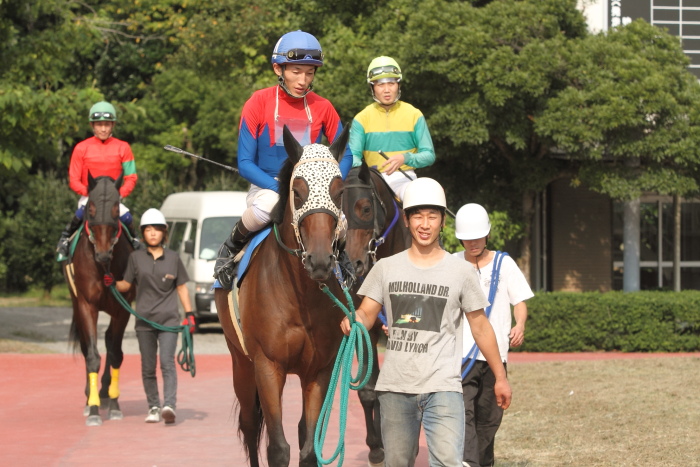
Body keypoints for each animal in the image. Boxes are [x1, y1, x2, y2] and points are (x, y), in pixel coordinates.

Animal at [63, 175, 135, 428]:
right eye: (91, 209)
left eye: (116, 210)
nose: (103, 253)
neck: (103, 266)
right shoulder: (87, 305)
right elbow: (92, 355)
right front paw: (93, 408)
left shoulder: (123, 309)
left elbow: (116, 354)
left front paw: (114, 404)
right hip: (76, 302)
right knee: (87, 347)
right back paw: (90, 397)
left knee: (109, 340)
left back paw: (104, 391)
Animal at [215, 125, 350, 467]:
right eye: (298, 192)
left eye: (339, 191)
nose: (319, 261)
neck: (301, 295)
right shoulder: (267, 365)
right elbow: (277, 447)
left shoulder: (319, 370)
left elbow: (309, 447)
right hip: (240, 362)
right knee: (250, 424)